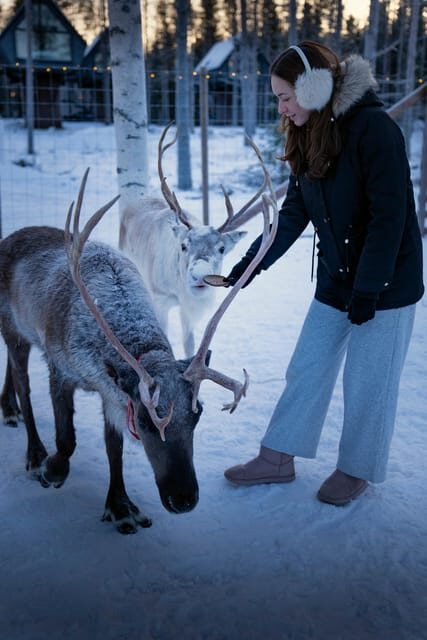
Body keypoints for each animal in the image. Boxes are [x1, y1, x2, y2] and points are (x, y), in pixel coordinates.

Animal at [0, 162, 278, 535]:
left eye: (198, 414)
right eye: (146, 422)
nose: (183, 499)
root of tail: (9, 237)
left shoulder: (112, 390)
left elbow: (113, 447)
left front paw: (120, 506)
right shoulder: (62, 368)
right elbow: (67, 437)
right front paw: (53, 469)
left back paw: (8, 408)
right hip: (13, 326)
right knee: (23, 383)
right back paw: (32, 451)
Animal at [119, 123, 270, 358]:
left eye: (222, 248)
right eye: (183, 245)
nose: (199, 275)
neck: (178, 289)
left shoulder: (187, 307)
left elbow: (188, 342)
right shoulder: (160, 299)